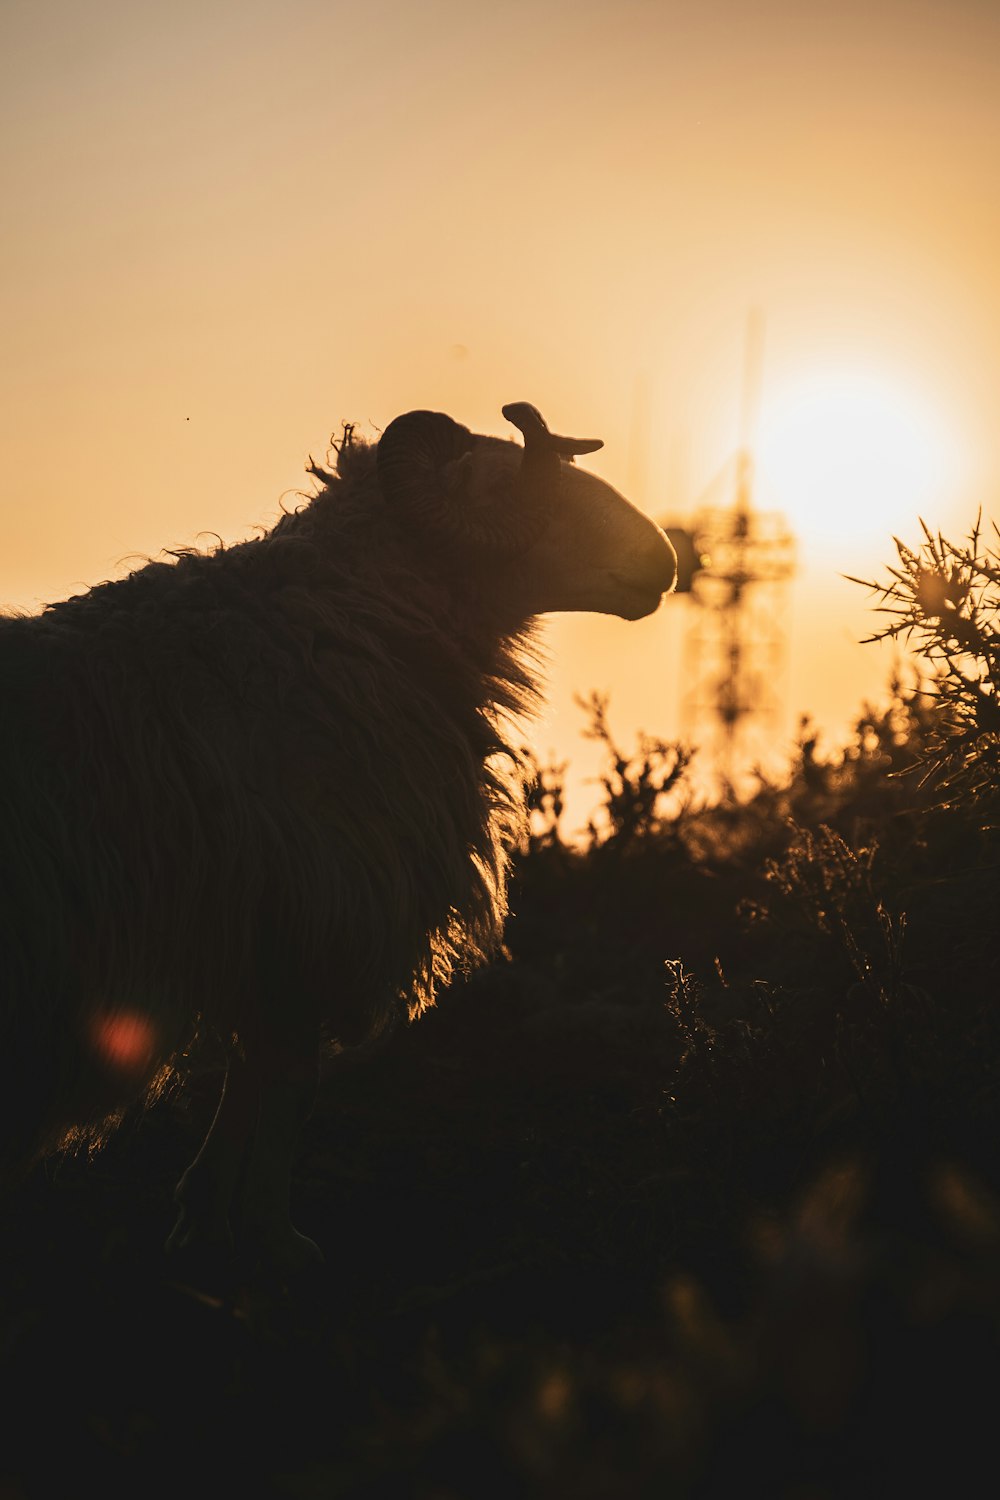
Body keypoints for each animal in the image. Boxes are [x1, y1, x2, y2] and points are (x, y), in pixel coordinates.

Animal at [1, 405, 680, 1272]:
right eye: (513, 482)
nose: (662, 558)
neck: (342, 618)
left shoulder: (270, 928)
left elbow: (256, 1072)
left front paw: (205, 1221)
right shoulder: (320, 902)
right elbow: (290, 1081)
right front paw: (272, 1239)